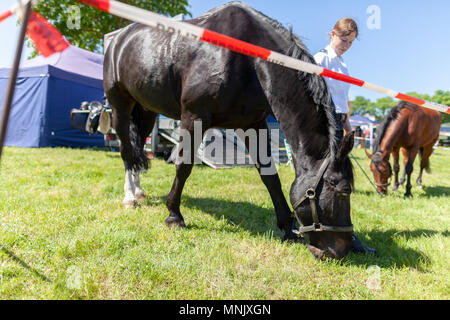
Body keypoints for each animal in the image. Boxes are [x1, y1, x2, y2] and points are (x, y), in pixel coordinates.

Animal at [103, 2, 356, 260]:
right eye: (342, 190)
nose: (342, 249)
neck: (246, 58)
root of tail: (118, 40)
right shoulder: (193, 116)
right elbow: (184, 166)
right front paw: (174, 215)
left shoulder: (253, 124)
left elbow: (269, 175)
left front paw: (287, 227)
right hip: (120, 106)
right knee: (126, 151)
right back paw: (130, 196)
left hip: (146, 111)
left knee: (136, 150)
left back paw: (139, 191)